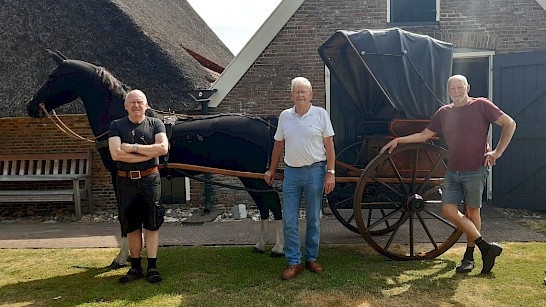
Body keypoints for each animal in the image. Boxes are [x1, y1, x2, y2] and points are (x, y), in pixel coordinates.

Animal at [26, 50, 282, 268]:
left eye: (53, 77)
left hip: (254, 177)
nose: (31, 106)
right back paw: (261, 245)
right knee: (264, 205)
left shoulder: (119, 176)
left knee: (273, 202)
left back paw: (278, 248)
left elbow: (125, 216)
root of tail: (265, 121)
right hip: (250, 177)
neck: (124, 121)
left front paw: (121, 258)